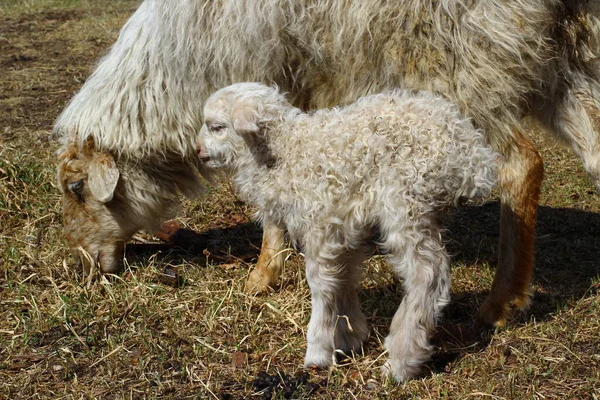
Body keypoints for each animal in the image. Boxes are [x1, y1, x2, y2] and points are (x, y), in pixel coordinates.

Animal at [52, 0, 600, 326]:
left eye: (78, 188)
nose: (80, 267)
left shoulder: (265, 77)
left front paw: (261, 276)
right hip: (569, 57)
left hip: (460, 64)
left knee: (521, 165)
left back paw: (501, 302)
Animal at [195, 81, 500, 382]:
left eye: (217, 127)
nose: (198, 152)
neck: (286, 150)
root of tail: (471, 154)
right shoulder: (345, 227)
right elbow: (344, 277)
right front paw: (349, 338)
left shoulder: (318, 225)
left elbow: (321, 285)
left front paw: (318, 352)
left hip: (407, 203)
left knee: (426, 274)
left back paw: (401, 361)